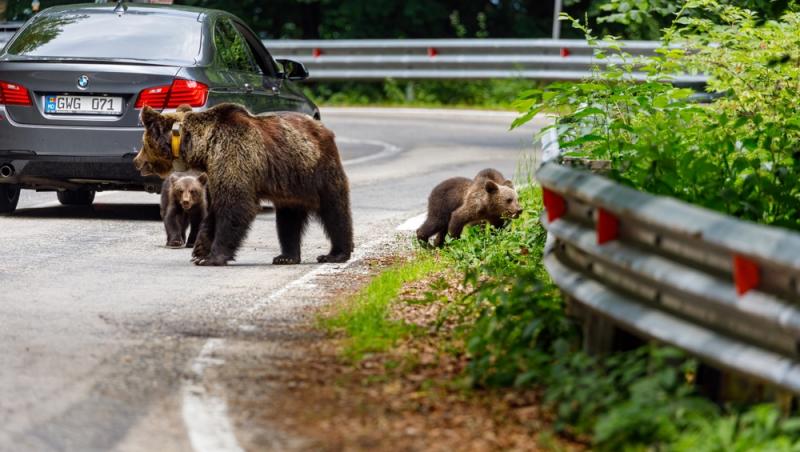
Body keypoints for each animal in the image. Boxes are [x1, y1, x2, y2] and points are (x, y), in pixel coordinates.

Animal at [134, 102, 354, 264]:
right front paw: (200, 250)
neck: (203, 147)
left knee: (334, 210)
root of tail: (323, 128)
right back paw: (286, 257)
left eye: (143, 143)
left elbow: (235, 206)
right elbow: (215, 210)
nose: (137, 161)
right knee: (287, 220)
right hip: (290, 186)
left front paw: (213, 257)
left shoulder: (233, 156)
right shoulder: (214, 171)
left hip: (318, 171)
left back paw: (335, 253)